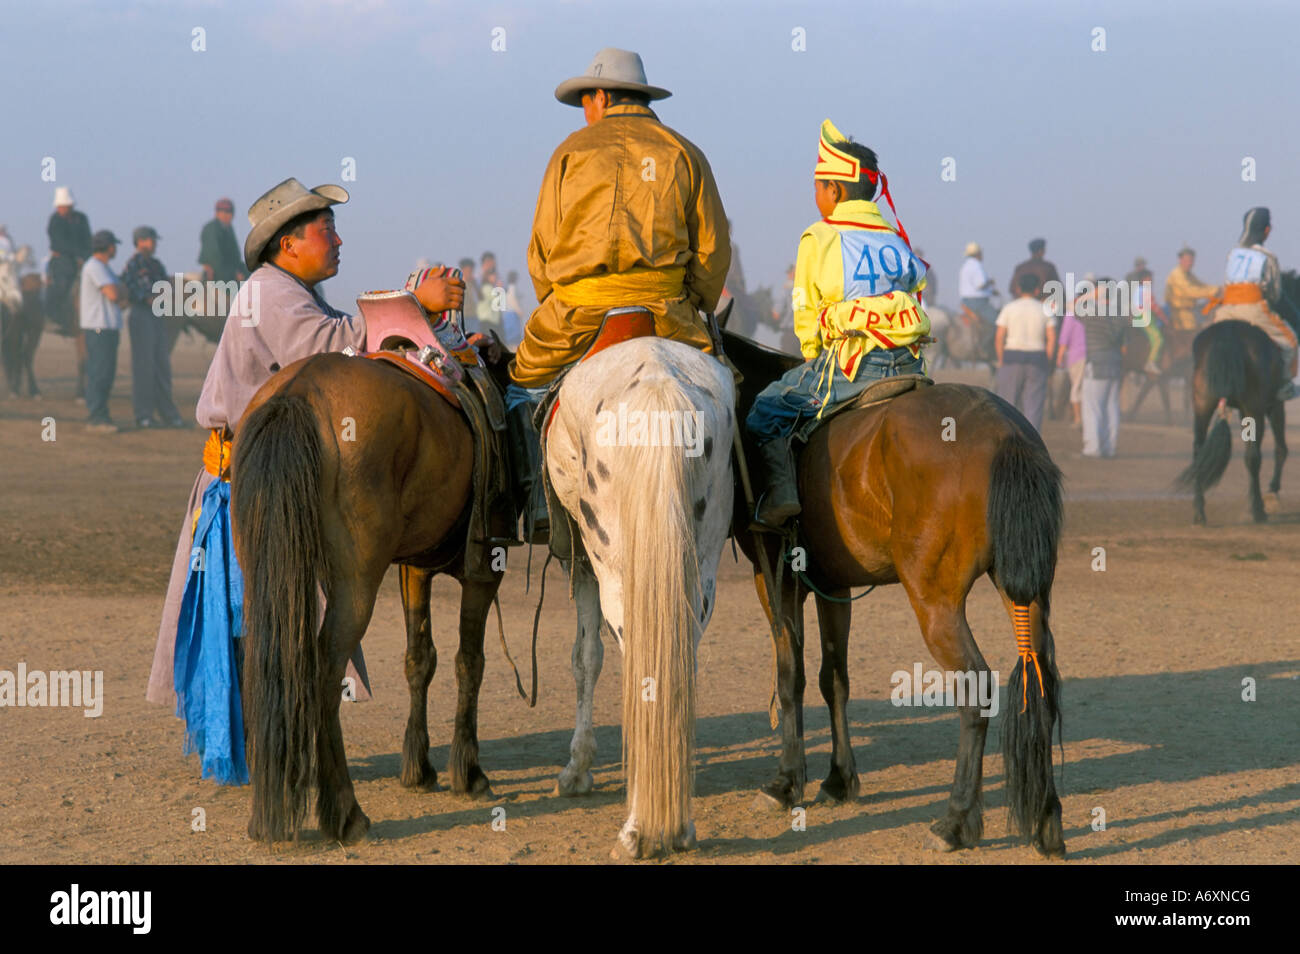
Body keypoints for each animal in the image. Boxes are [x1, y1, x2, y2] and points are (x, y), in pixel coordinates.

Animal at [231, 348, 514, 842]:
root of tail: (297, 392)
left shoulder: (415, 568)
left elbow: (420, 659)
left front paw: (419, 768)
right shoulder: (483, 570)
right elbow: (469, 662)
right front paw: (468, 771)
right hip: (356, 582)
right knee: (324, 670)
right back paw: (346, 813)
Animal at [546, 335, 738, 857]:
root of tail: (658, 384)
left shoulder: (582, 561)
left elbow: (585, 657)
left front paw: (577, 768)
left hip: (612, 562)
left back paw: (641, 827)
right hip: (701, 560)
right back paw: (675, 819)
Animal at [722, 330, 1066, 857]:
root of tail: (1006, 433)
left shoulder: (776, 579)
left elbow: (790, 676)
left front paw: (786, 783)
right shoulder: (832, 585)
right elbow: (833, 678)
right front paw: (838, 779)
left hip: (935, 602)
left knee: (975, 687)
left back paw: (955, 821)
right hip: (1026, 590)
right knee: (1039, 675)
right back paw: (1047, 823)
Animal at [1175, 270, 1294, 522]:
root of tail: (1227, 335)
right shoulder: (1273, 404)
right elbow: (1280, 448)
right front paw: (1272, 492)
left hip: (1202, 404)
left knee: (1199, 451)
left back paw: (1199, 512)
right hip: (1254, 408)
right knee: (1253, 456)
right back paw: (1258, 510)